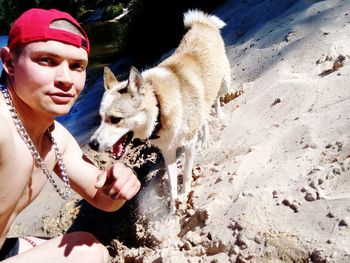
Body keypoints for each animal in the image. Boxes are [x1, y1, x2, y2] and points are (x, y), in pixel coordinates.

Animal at [89, 9, 231, 213]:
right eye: (101, 118)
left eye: (115, 119)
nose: (91, 144)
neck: (159, 107)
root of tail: (201, 23)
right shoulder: (168, 150)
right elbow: (172, 183)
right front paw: (172, 208)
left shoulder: (188, 144)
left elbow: (186, 174)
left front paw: (184, 194)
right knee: (203, 113)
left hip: (224, 82)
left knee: (216, 99)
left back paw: (217, 120)